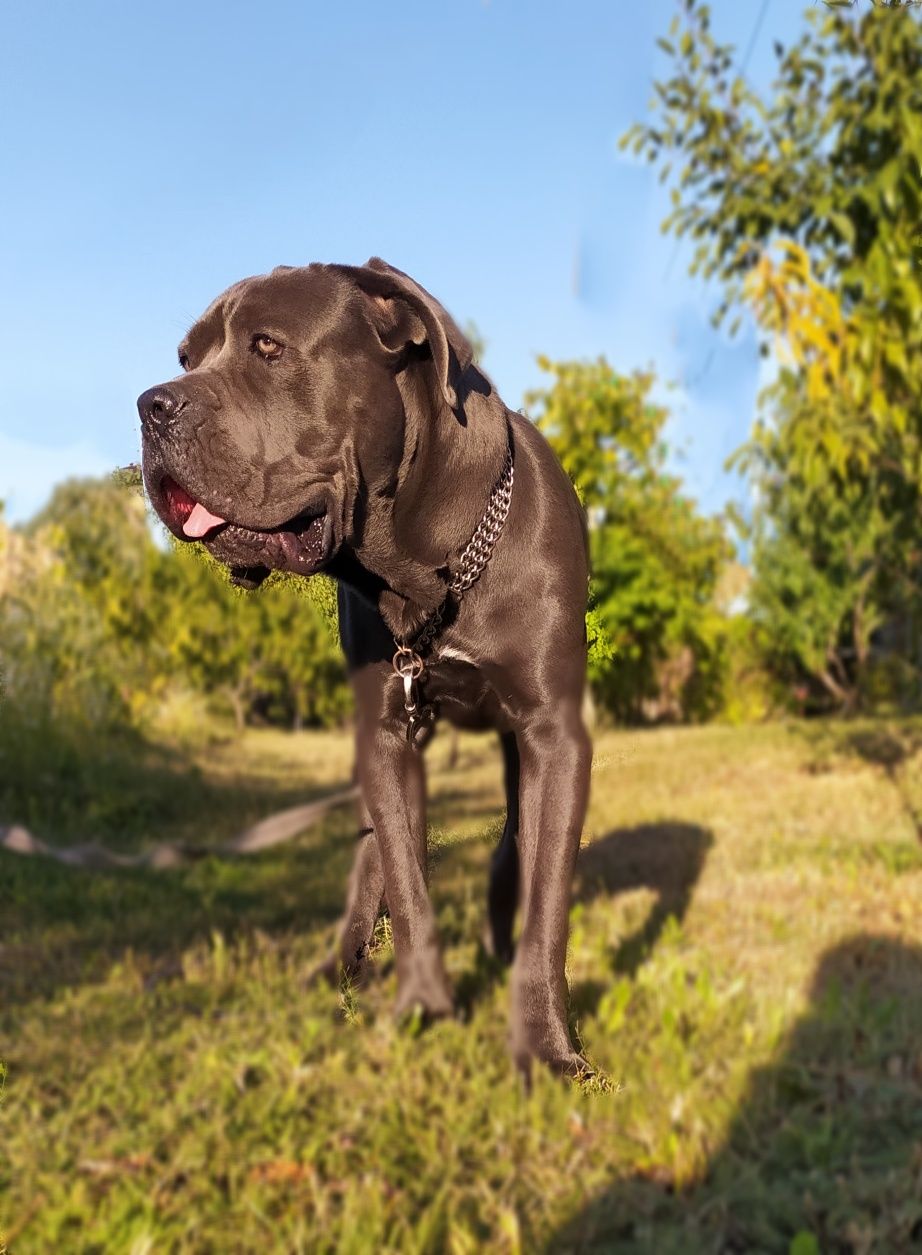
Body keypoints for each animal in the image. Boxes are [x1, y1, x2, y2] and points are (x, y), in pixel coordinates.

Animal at [136, 257, 592, 1079]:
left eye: (268, 347)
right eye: (187, 358)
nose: (151, 404)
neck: (428, 566)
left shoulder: (555, 733)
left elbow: (546, 902)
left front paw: (547, 1048)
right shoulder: (384, 732)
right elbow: (405, 887)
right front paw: (423, 1009)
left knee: (512, 848)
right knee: (373, 859)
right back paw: (337, 966)